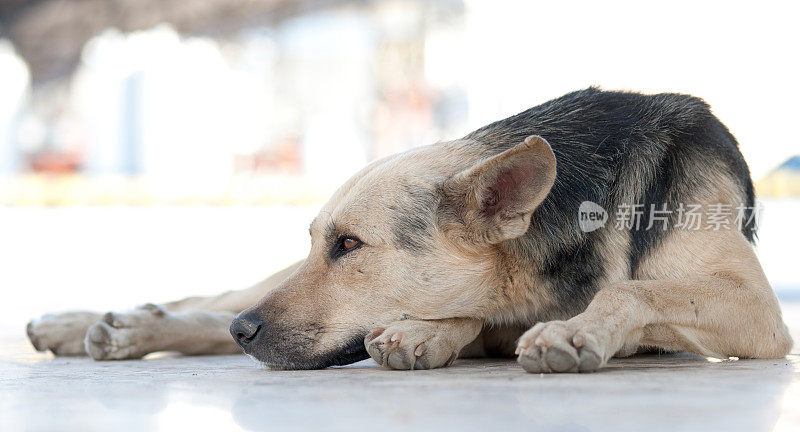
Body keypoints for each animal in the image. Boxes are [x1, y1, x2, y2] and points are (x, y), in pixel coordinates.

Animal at [26, 88, 792, 372]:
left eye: (349, 245)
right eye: (318, 240)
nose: (249, 332)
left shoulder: (757, 311)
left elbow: (631, 292)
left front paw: (572, 332)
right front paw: (428, 332)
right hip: (251, 295)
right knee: (204, 304)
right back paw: (103, 324)